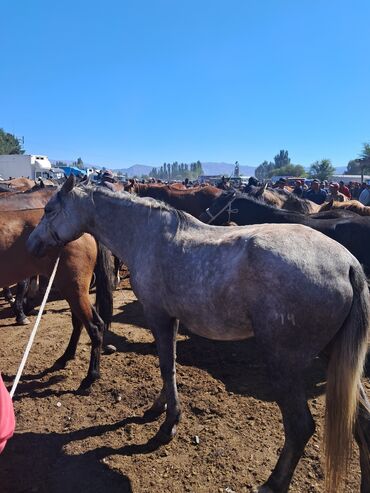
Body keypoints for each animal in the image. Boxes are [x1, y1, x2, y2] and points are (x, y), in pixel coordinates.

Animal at [0, 208, 112, 388]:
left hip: (73, 290)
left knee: (94, 327)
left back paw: (91, 377)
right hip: (72, 290)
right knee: (82, 323)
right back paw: (65, 358)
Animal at [27, 177, 370, 492]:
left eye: (49, 210)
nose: (31, 244)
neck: (148, 236)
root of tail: (349, 265)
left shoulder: (158, 316)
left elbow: (166, 365)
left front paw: (168, 424)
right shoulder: (173, 319)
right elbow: (170, 366)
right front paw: (161, 407)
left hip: (284, 363)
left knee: (300, 427)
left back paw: (274, 482)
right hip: (335, 357)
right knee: (362, 423)